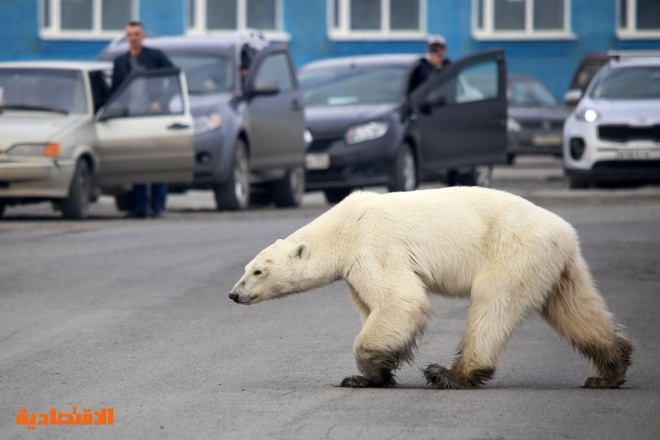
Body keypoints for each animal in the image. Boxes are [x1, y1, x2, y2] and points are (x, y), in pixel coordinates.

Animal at [229, 186, 632, 388]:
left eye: (258, 271)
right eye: (246, 268)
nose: (234, 294)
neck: (341, 227)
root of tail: (565, 232)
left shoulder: (373, 247)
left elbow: (400, 300)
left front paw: (367, 372)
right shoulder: (355, 267)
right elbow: (372, 307)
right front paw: (373, 374)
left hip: (513, 249)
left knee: (493, 304)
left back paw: (450, 374)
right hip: (557, 265)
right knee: (575, 309)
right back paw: (608, 372)